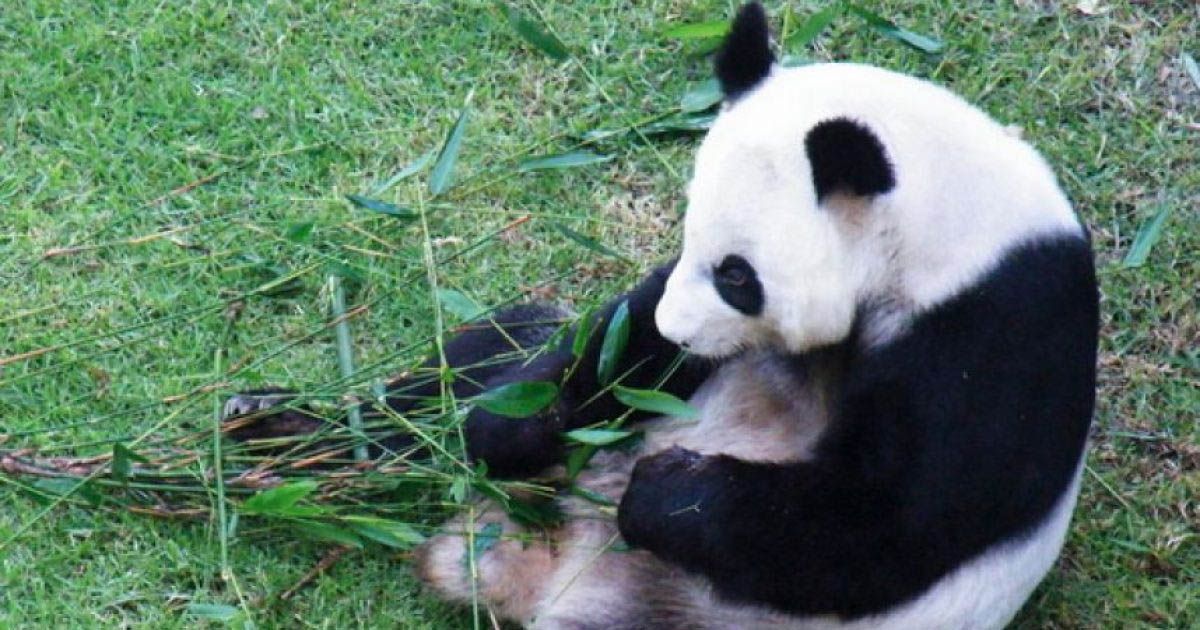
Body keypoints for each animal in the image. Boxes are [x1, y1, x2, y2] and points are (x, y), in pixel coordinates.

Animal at [223, 3, 1099, 628]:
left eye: (738, 276)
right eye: (687, 239)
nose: (687, 333)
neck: (946, 221)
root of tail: (541, 567)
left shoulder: (997, 331)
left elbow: (887, 522)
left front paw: (668, 490)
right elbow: (614, 341)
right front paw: (529, 419)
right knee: (468, 367)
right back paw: (281, 434)